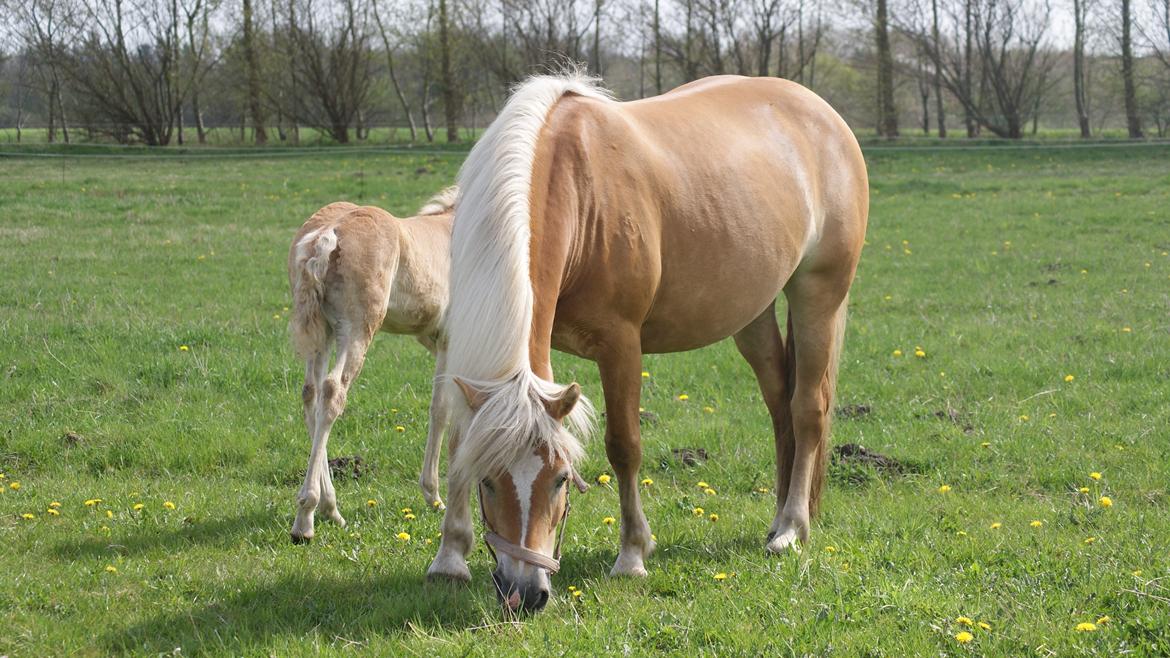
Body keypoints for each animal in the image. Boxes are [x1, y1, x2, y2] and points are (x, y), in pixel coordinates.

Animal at [285, 187, 458, 540]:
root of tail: (326, 235)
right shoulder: (451, 340)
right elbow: (442, 409)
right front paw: (435, 497)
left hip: (322, 333)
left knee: (311, 394)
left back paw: (331, 509)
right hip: (356, 329)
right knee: (332, 392)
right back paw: (306, 517)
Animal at [432, 71, 870, 608]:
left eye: (561, 480)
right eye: (488, 481)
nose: (524, 593)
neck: (579, 187)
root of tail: (822, 114)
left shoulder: (620, 344)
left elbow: (624, 446)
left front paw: (633, 555)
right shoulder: (465, 350)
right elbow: (459, 442)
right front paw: (450, 557)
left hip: (818, 296)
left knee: (808, 408)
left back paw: (790, 528)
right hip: (753, 314)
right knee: (779, 405)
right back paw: (778, 518)